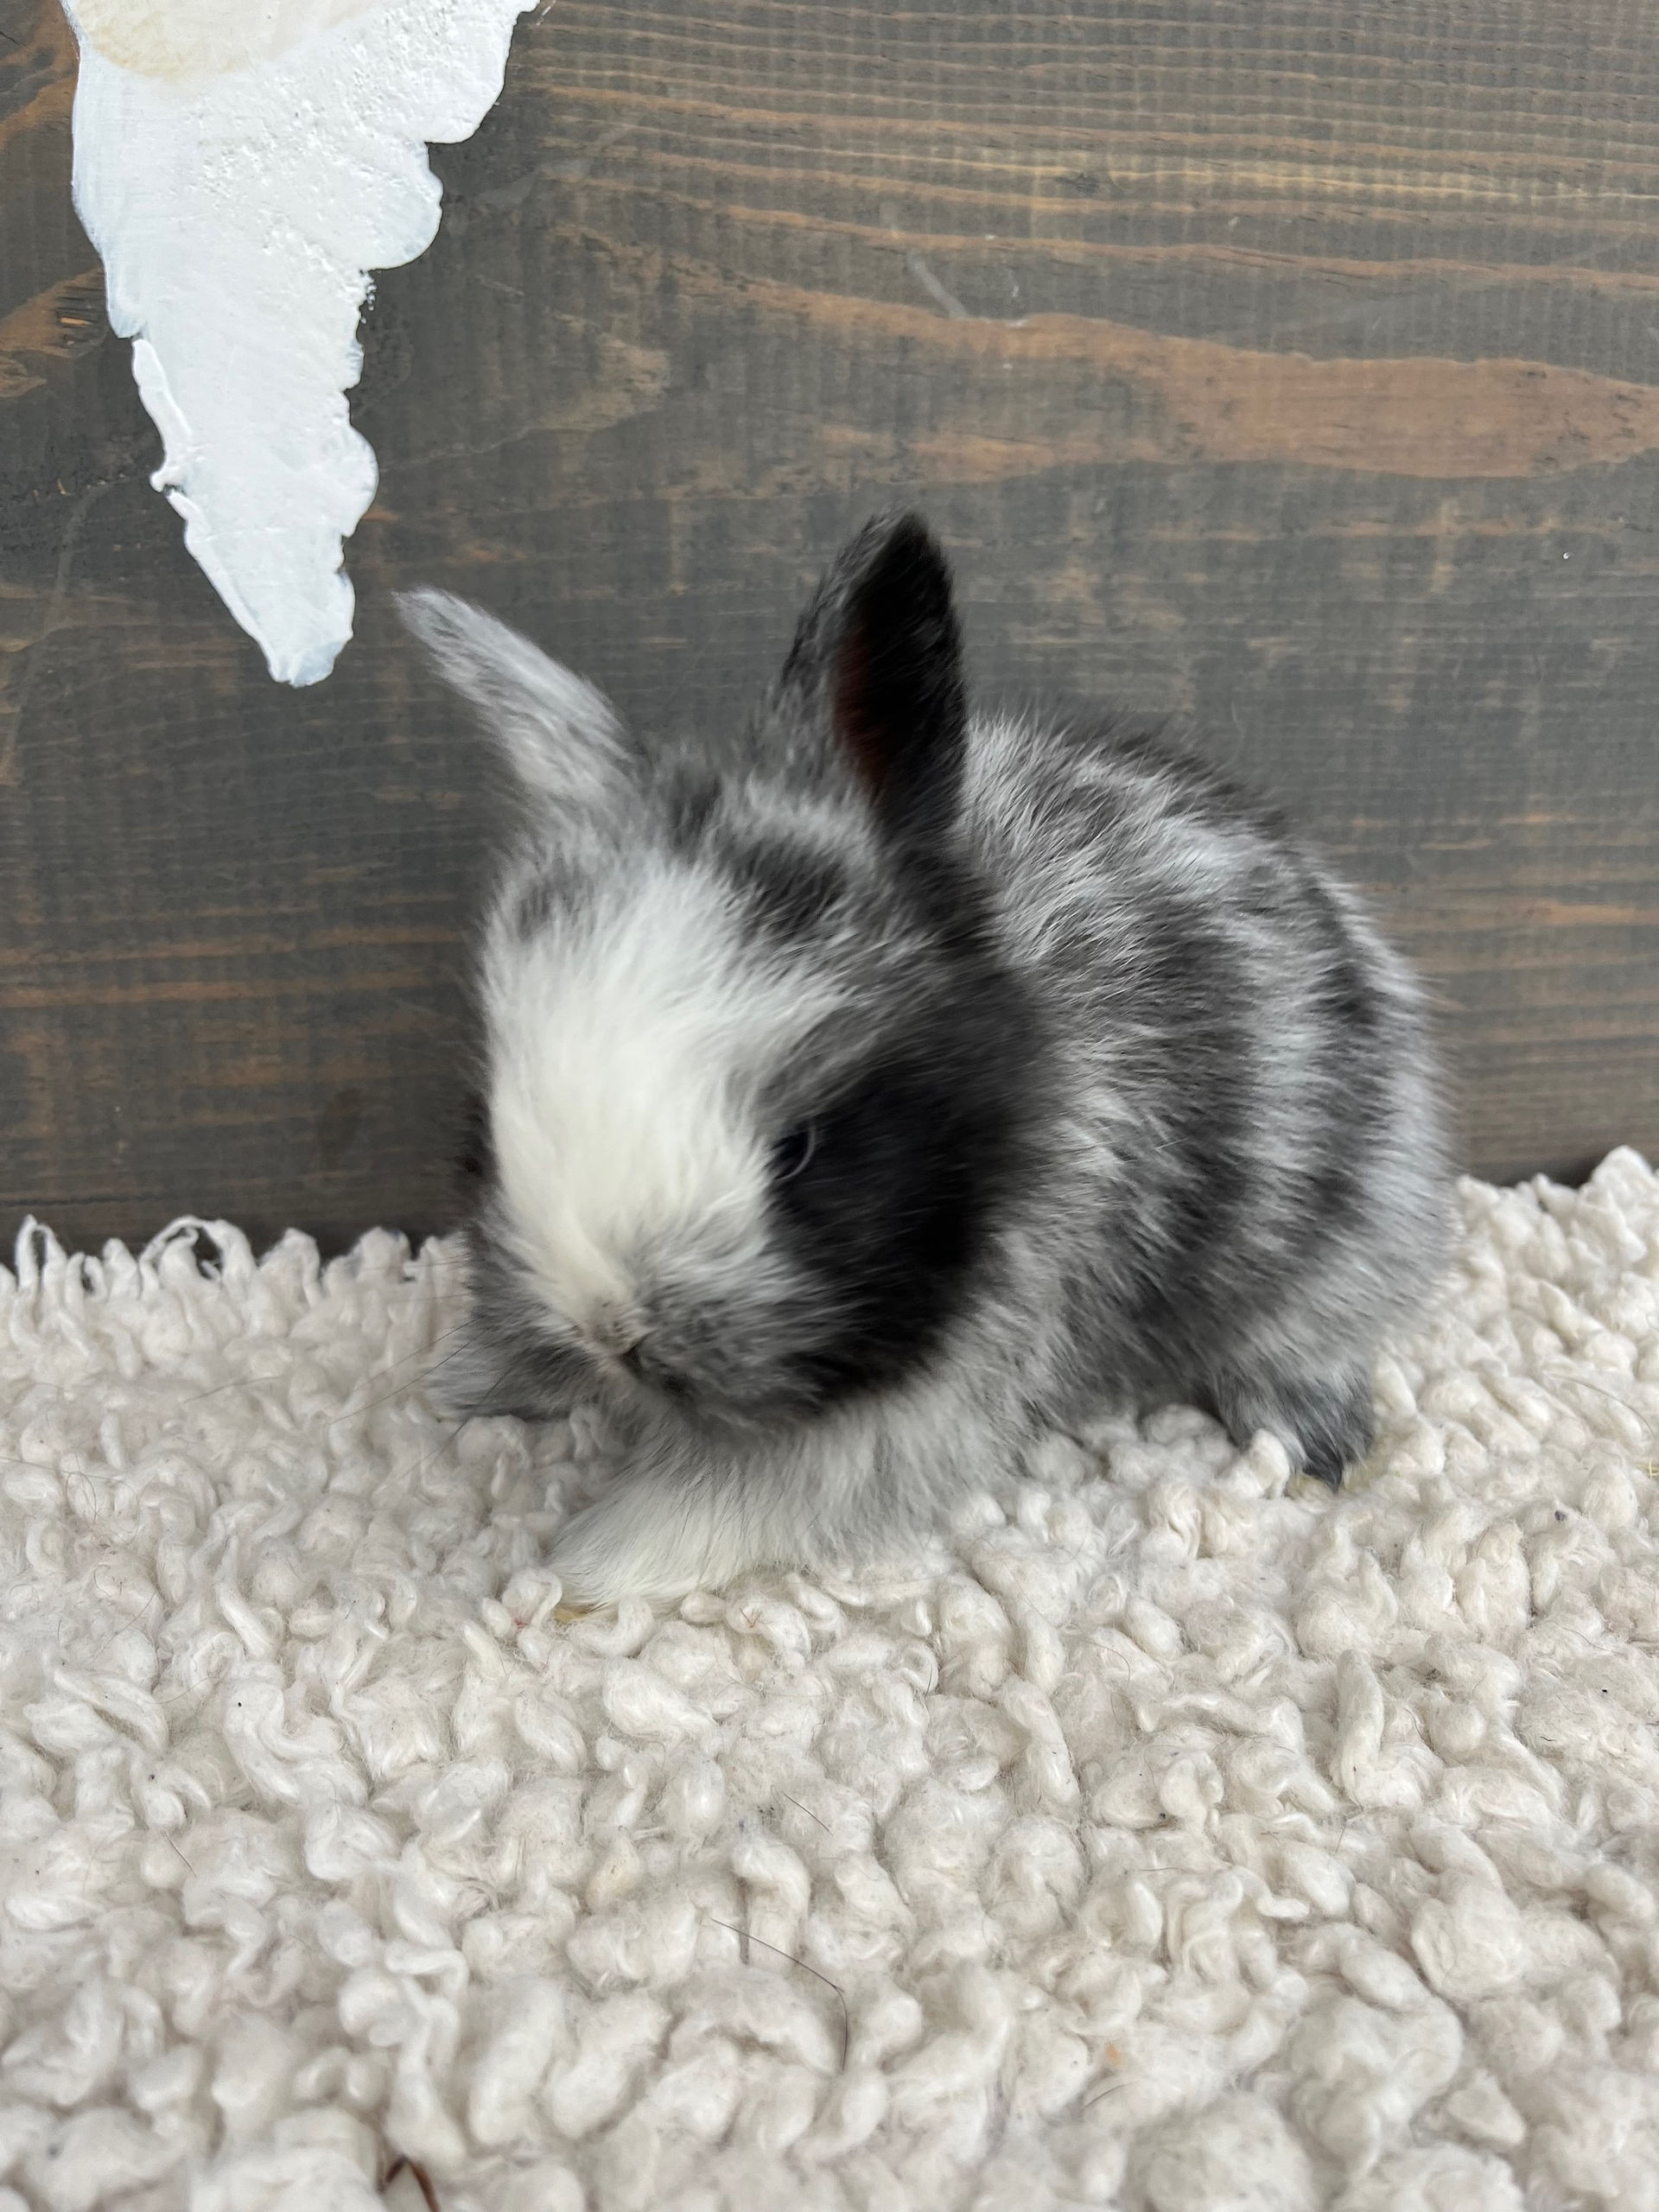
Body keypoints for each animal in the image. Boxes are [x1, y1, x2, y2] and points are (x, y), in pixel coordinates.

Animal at [399, 512, 1446, 1609]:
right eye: (494, 1124)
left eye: (797, 1149)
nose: (612, 1331)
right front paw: (473, 1380)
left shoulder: (954, 1365)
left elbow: (773, 1490)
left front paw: (604, 1562)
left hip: (1344, 1238)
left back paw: (1314, 1435)